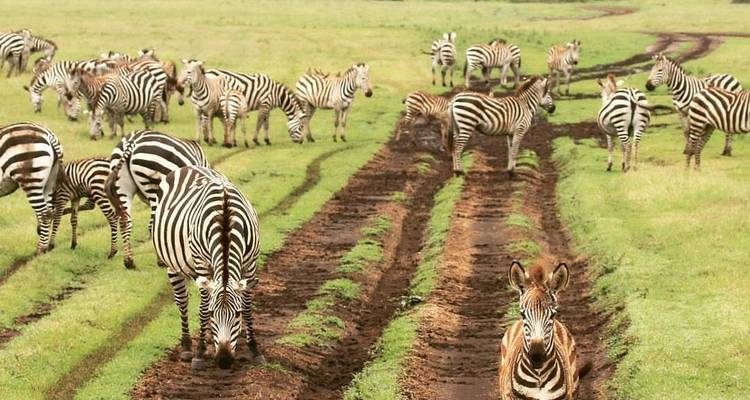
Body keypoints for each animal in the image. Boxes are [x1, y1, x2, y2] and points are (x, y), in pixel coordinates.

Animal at [0, 122, 63, 255]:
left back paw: (40, 250)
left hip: (31, 181)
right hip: (49, 183)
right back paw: (45, 248)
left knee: (44, 214)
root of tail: (49, 135)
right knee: (50, 212)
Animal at [106, 129, 208, 269]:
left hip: (122, 187)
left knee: (125, 221)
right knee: (153, 224)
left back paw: (129, 261)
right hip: (154, 186)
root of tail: (131, 141)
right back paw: (161, 261)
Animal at [153, 165, 263, 369]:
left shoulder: (250, 263)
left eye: (237, 314)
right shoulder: (202, 263)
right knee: (182, 301)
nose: (224, 361)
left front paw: (254, 348)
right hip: (172, 264)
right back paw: (187, 346)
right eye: (213, 313)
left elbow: (248, 305)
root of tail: (188, 167)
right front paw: (200, 352)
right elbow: (203, 307)